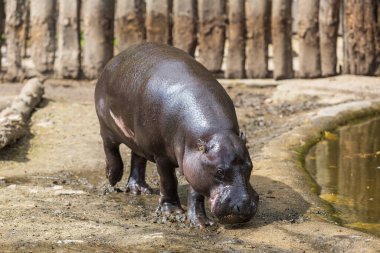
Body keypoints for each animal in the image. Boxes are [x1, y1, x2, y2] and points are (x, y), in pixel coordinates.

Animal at [94, 43, 258, 227]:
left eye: (250, 166)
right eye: (220, 171)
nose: (244, 206)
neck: (215, 132)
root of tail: (117, 57)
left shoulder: (195, 162)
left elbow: (196, 192)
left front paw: (201, 223)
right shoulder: (162, 156)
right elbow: (168, 182)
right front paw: (172, 212)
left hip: (138, 138)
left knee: (137, 158)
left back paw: (140, 190)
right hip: (106, 126)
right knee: (111, 149)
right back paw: (112, 178)